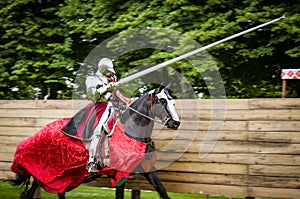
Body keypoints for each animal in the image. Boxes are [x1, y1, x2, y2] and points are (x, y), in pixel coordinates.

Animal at [8, 86, 180, 199]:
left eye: (172, 101)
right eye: (163, 101)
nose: (176, 123)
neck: (131, 132)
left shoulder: (147, 169)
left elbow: (162, 190)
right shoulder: (120, 173)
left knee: (59, 192)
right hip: (45, 174)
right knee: (30, 194)